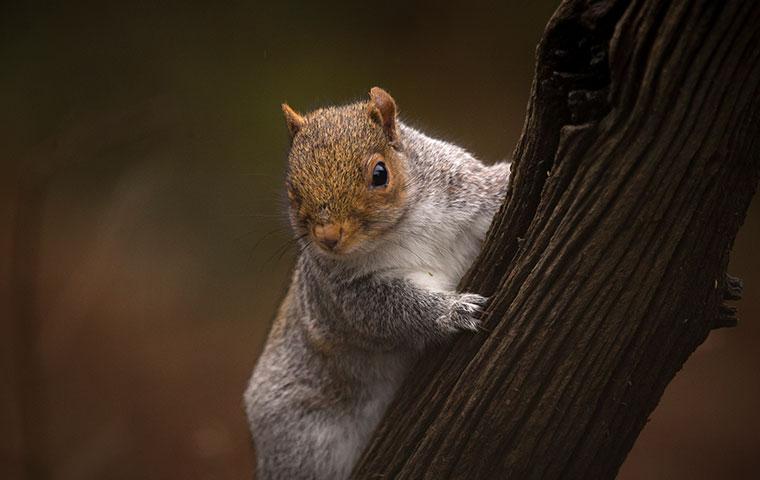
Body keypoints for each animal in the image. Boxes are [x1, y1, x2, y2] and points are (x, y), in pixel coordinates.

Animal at [246, 87, 512, 480]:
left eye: (380, 174)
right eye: (293, 191)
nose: (328, 237)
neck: (400, 228)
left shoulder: (465, 188)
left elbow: (493, 187)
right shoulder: (343, 292)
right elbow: (389, 313)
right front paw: (453, 311)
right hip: (301, 439)